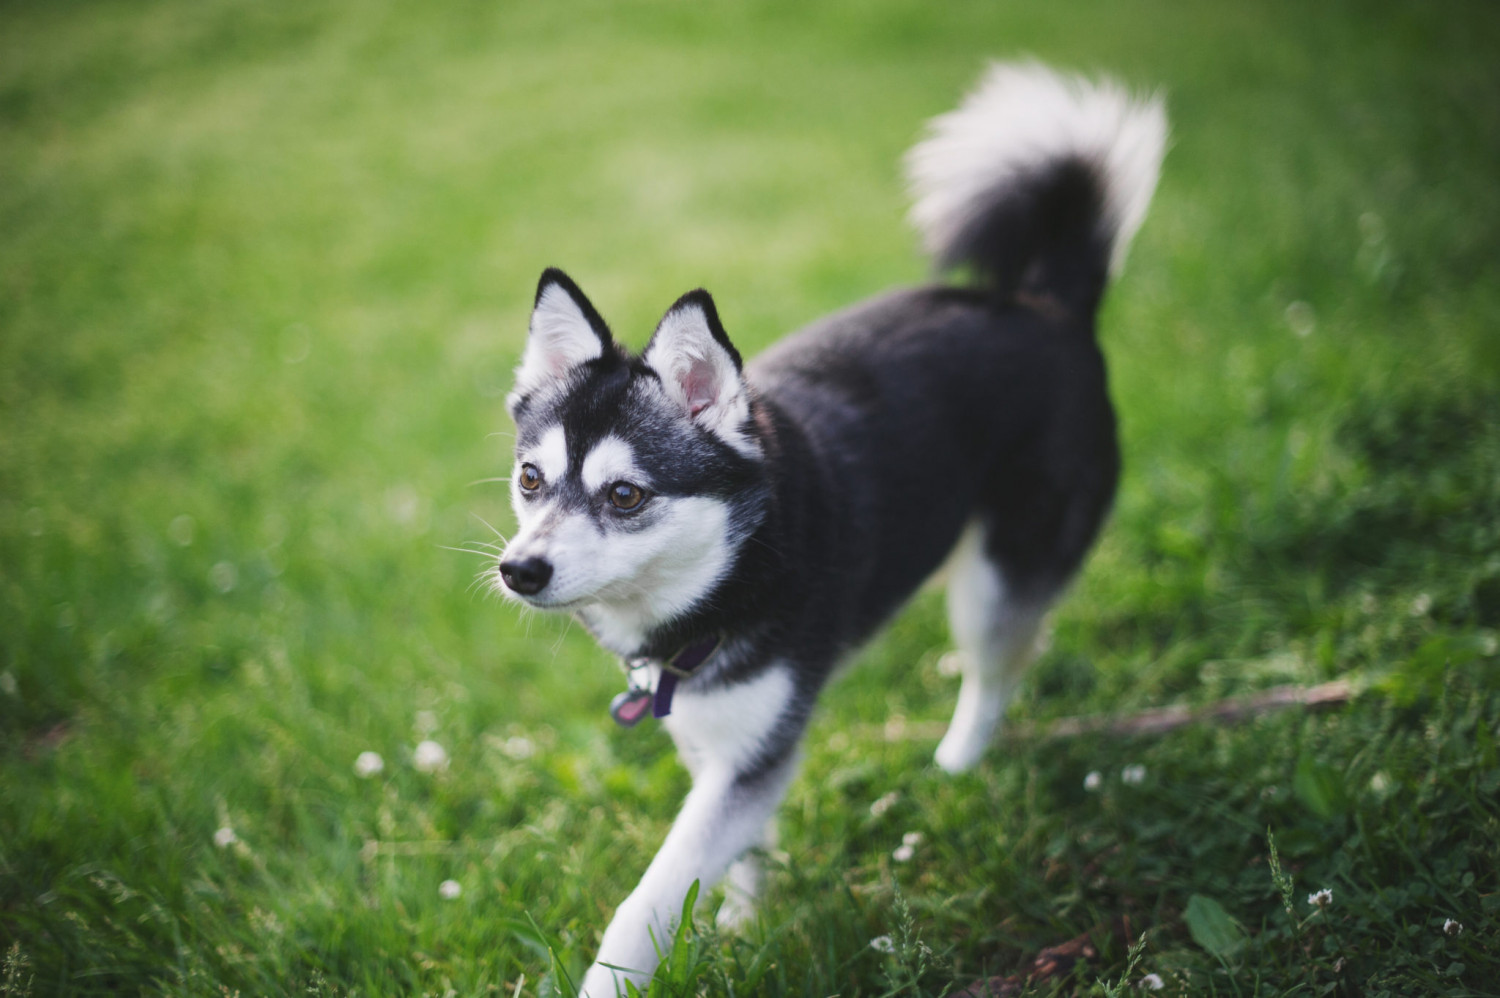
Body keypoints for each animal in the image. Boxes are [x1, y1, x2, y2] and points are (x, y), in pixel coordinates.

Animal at [486, 62, 1164, 996]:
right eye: (531, 479)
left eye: (624, 495)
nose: (520, 570)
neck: (733, 566)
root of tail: (1043, 304)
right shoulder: (724, 742)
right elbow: (737, 856)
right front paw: (742, 925)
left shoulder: (753, 747)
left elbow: (646, 900)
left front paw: (616, 977)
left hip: (995, 580)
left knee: (996, 673)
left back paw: (955, 768)